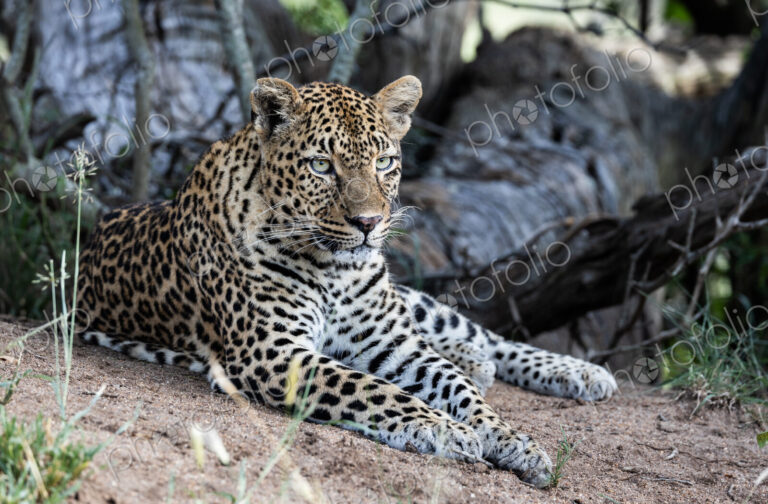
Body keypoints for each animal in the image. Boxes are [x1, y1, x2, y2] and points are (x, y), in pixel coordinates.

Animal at [76, 76, 617, 488]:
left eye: (384, 163)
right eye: (321, 165)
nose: (368, 223)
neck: (334, 270)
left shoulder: (397, 345)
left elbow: (459, 389)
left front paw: (510, 440)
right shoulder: (274, 353)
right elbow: (371, 387)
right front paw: (444, 430)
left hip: (413, 304)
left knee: (478, 336)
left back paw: (579, 372)